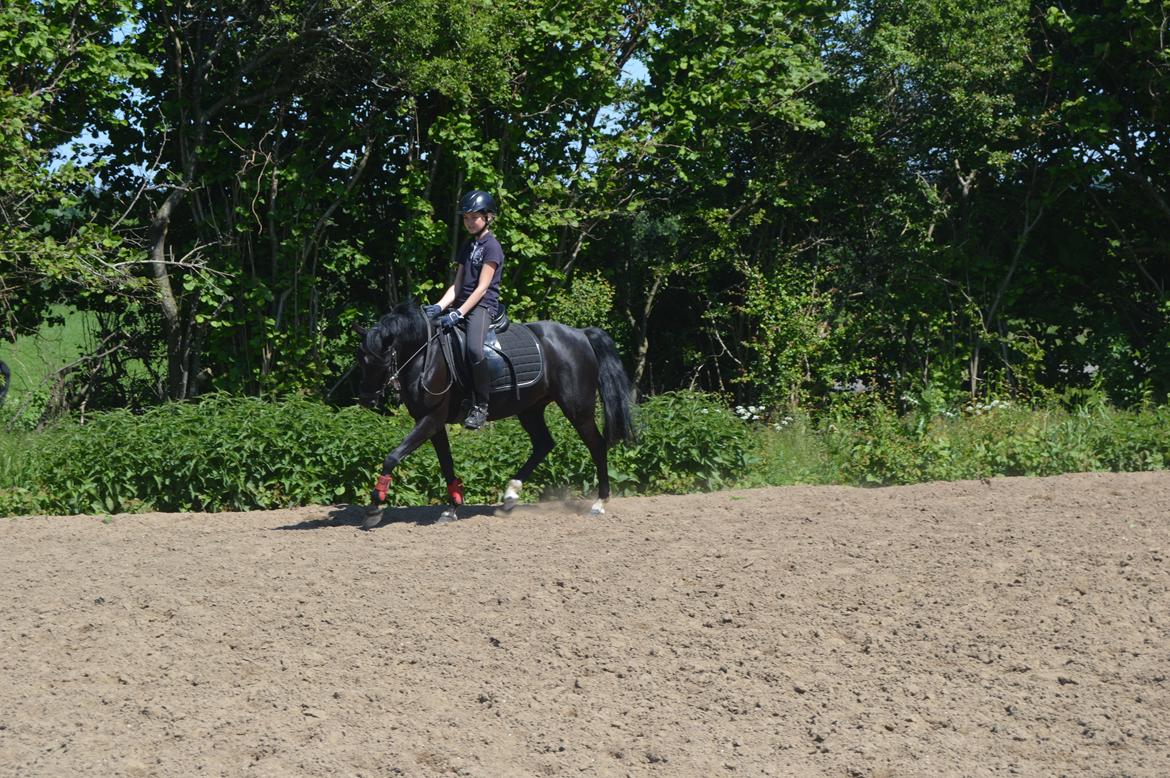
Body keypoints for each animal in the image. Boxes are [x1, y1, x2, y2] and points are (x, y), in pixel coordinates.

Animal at [351, 301, 636, 528]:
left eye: (380, 360)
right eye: (360, 360)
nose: (366, 399)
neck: (426, 356)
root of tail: (580, 334)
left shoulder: (431, 419)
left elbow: (392, 457)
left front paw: (374, 506)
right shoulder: (434, 423)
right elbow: (446, 464)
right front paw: (452, 507)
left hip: (577, 408)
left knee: (596, 445)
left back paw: (599, 503)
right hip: (530, 409)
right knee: (544, 444)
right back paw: (510, 496)